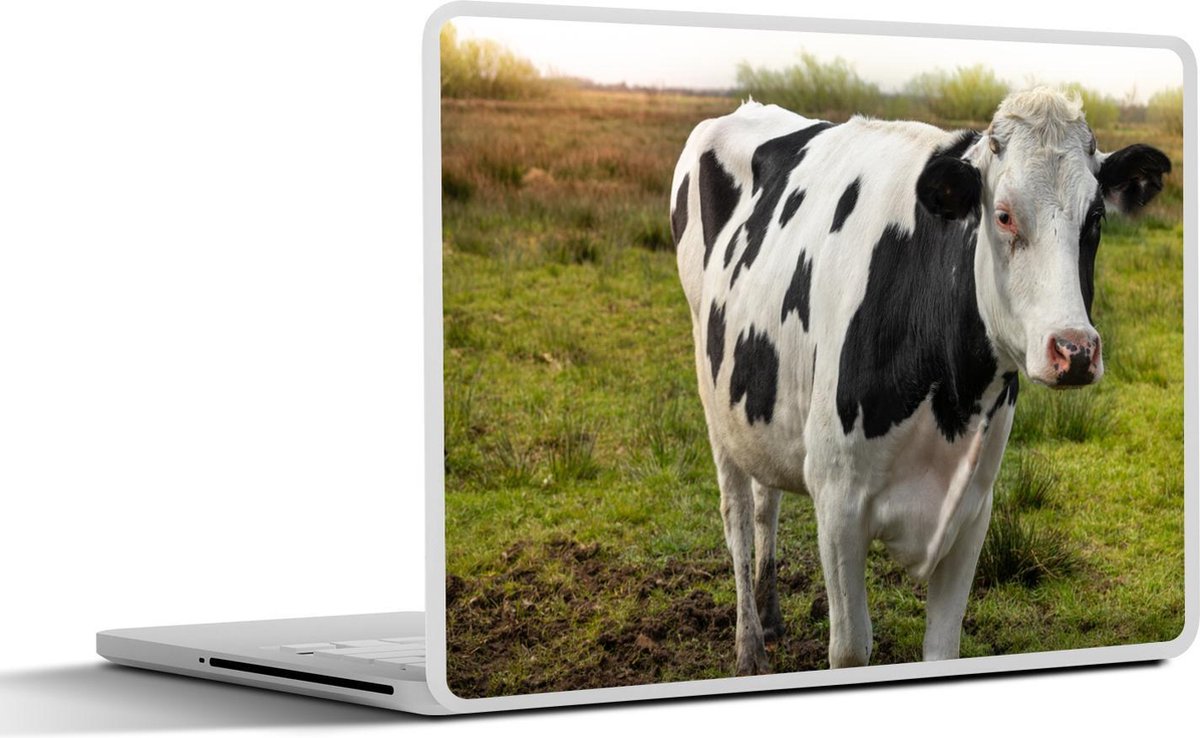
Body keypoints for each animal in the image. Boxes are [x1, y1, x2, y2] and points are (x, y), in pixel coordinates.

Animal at [670, 87, 1170, 675]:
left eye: (1094, 217)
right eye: (1003, 215)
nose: (1074, 350)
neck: (949, 398)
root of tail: (748, 108)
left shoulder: (974, 509)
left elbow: (942, 646)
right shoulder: (837, 502)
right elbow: (850, 649)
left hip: (760, 396)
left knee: (765, 494)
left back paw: (770, 617)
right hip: (712, 391)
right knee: (737, 512)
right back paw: (750, 647)